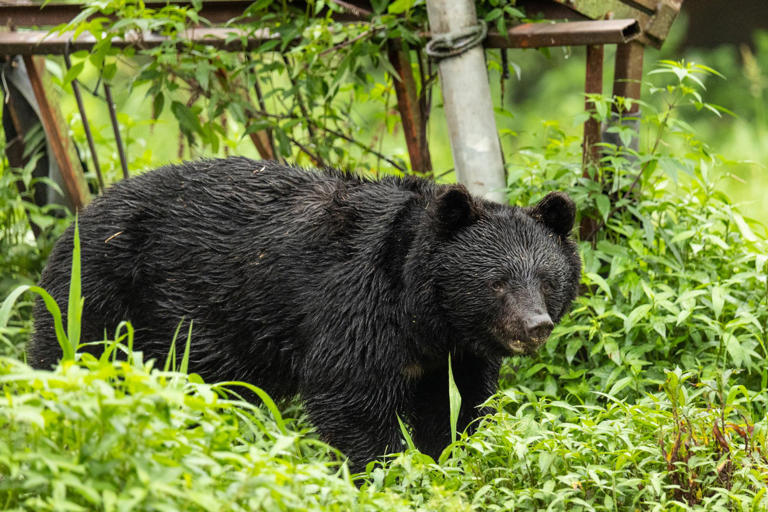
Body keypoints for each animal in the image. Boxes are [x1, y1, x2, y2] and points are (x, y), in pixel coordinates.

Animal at [28, 157, 581, 470]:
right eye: (497, 282)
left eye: (546, 281)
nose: (535, 326)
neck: (422, 313)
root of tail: (79, 216)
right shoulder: (355, 306)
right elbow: (350, 396)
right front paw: (388, 471)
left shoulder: (455, 351)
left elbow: (462, 406)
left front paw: (448, 458)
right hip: (101, 293)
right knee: (69, 354)